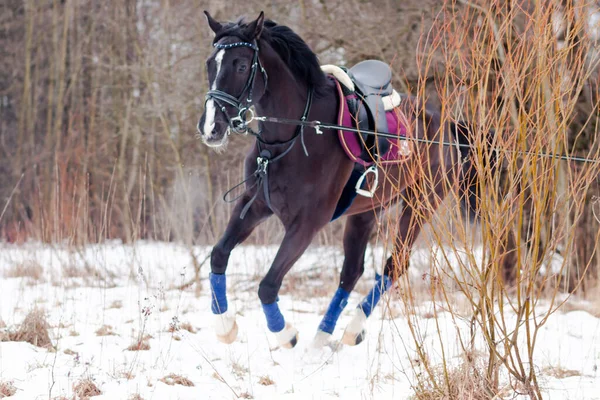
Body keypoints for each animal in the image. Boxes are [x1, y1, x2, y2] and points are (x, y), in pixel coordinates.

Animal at [197, 10, 506, 348]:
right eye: (210, 63)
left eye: (241, 65)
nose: (211, 128)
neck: (294, 135)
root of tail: (448, 123)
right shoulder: (255, 205)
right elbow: (218, 255)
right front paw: (225, 326)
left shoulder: (307, 224)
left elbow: (268, 285)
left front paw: (285, 333)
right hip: (366, 212)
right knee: (352, 270)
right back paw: (323, 339)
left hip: (420, 204)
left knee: (394, 264)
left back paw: (351, 328)